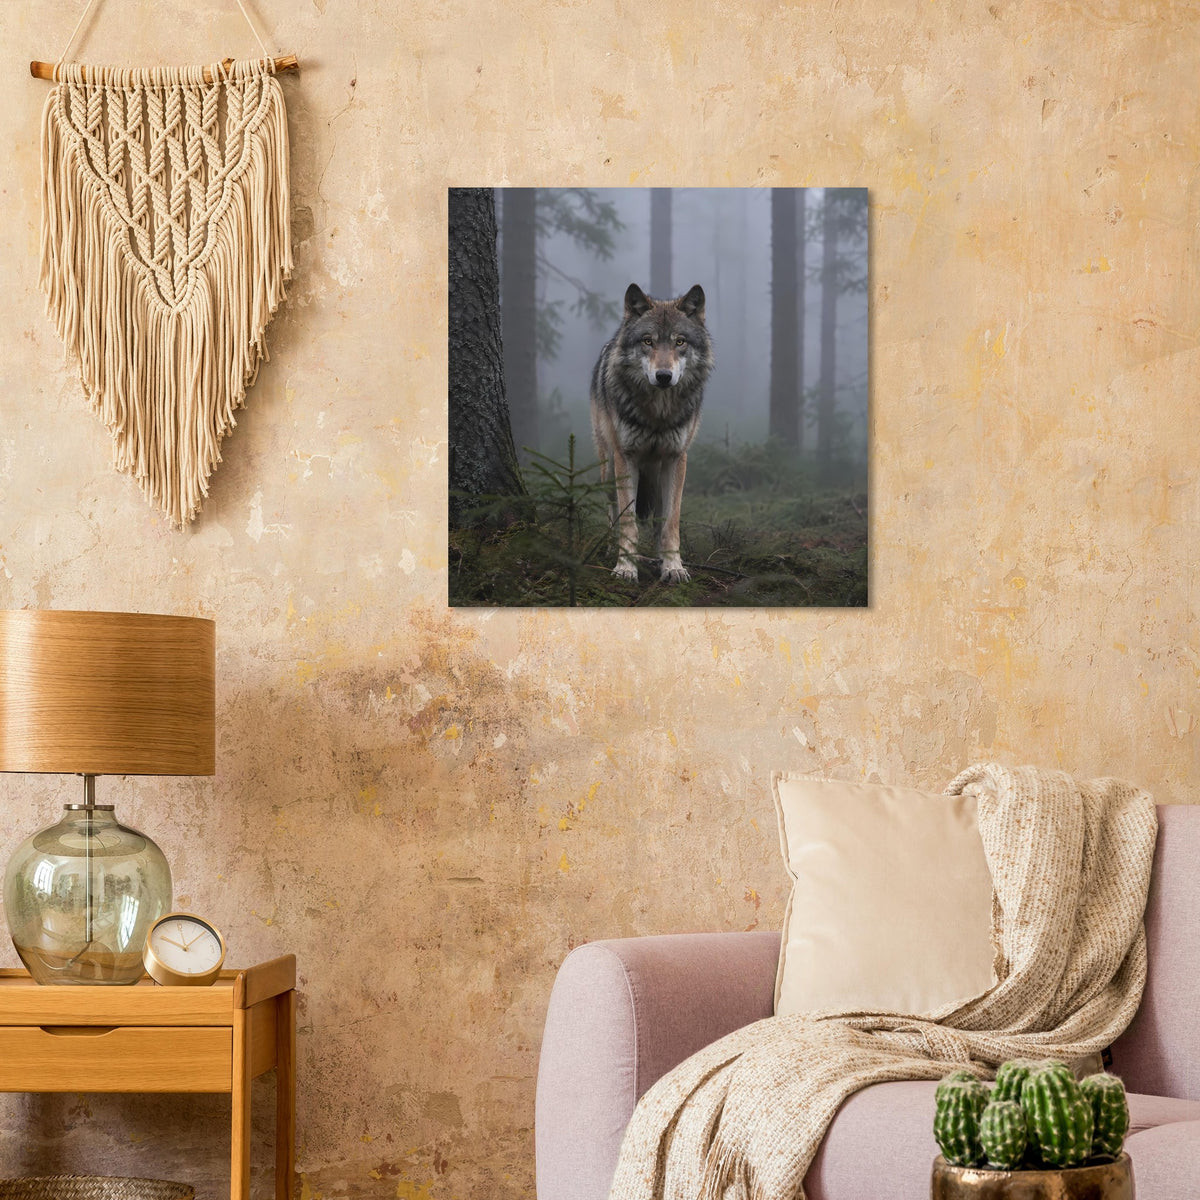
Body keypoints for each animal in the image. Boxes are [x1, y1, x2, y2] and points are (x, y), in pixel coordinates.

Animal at [590, 282, 713, 583]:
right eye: (648, 341)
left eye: (680, 342)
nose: (664, 376)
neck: (658, 413)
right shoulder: (626, 457)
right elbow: (628, 521)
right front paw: (625, 567)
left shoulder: (676, 458)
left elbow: (671, 523)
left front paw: (673, 566)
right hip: (608, 468)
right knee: (612, 511)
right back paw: (609, 549)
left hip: (657, 476)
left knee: (658, 519)